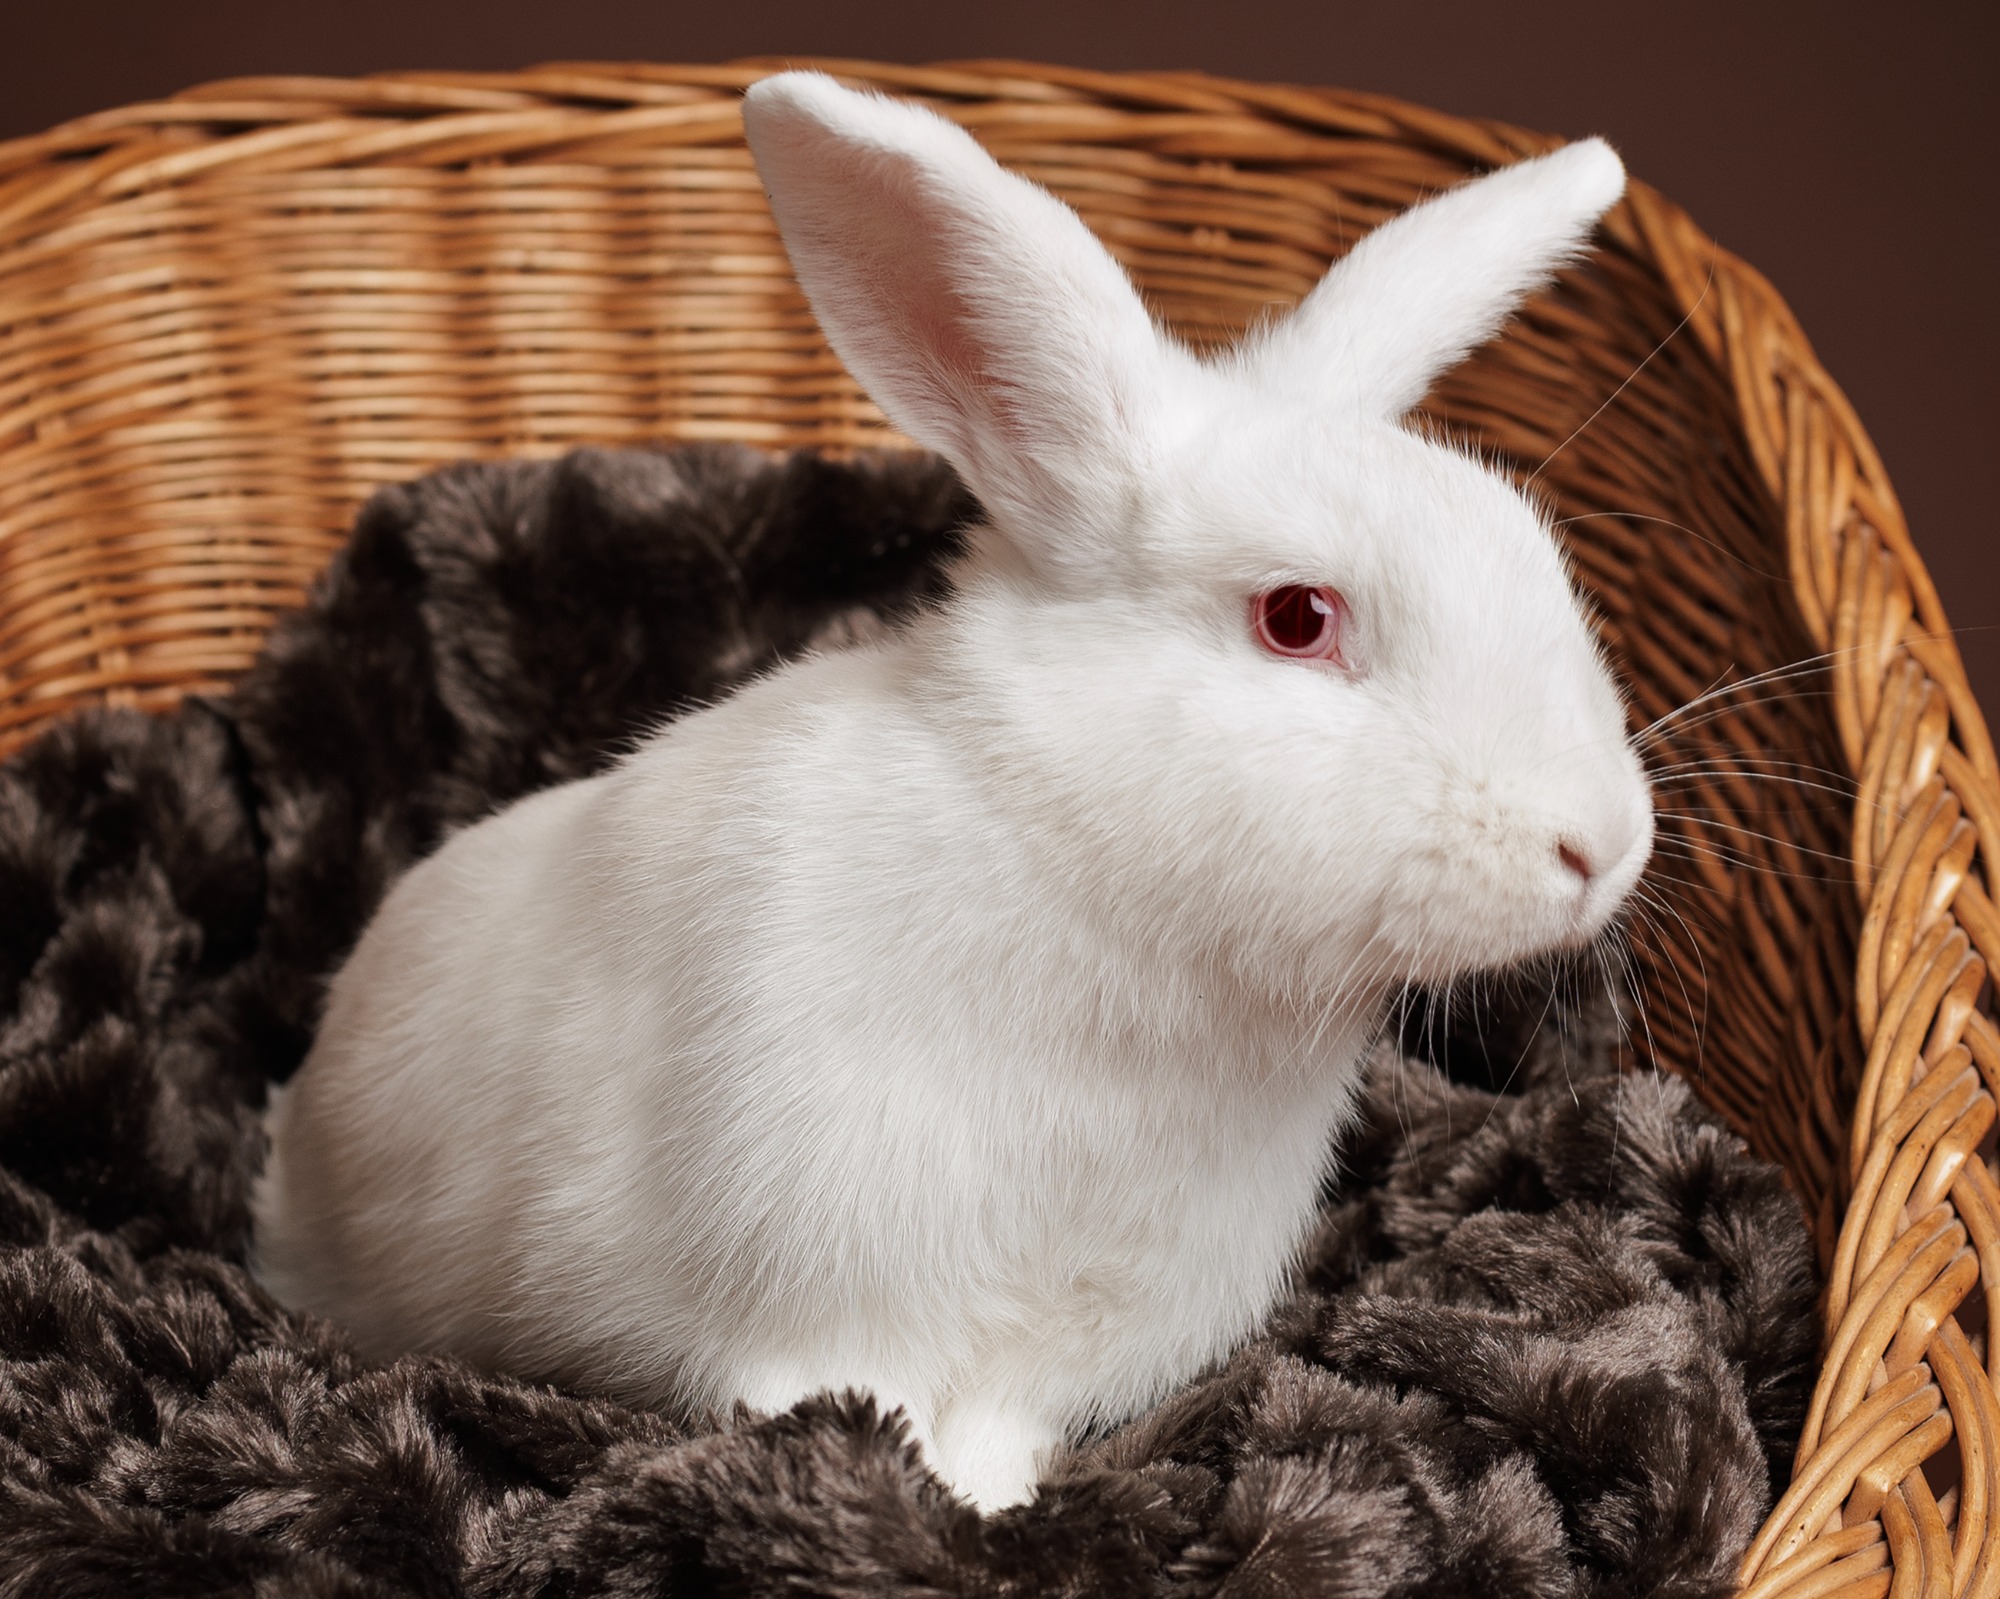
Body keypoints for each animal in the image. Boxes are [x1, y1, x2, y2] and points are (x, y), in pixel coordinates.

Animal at [252, 70, 1653, 1512]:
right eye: (1296, 617)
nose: (1601, 843)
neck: (1099, 896)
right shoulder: (825, 1297)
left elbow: (1001, 1432)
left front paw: (1002, 1505)